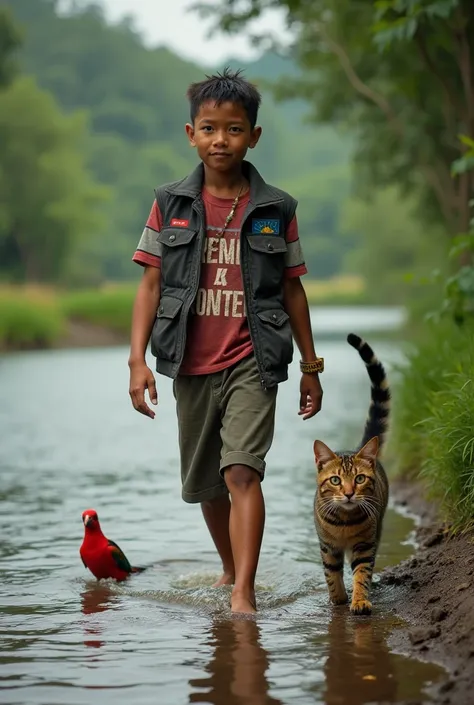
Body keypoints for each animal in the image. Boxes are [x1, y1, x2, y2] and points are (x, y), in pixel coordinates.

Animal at [314, 332, 388, 612]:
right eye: (335, 480)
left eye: (359, 478)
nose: (347, 493)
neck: (344, 523)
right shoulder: (328, 546)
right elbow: (331, 573)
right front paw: (337, 599)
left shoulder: (365, 544)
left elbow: (362, 573)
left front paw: (359, 600)